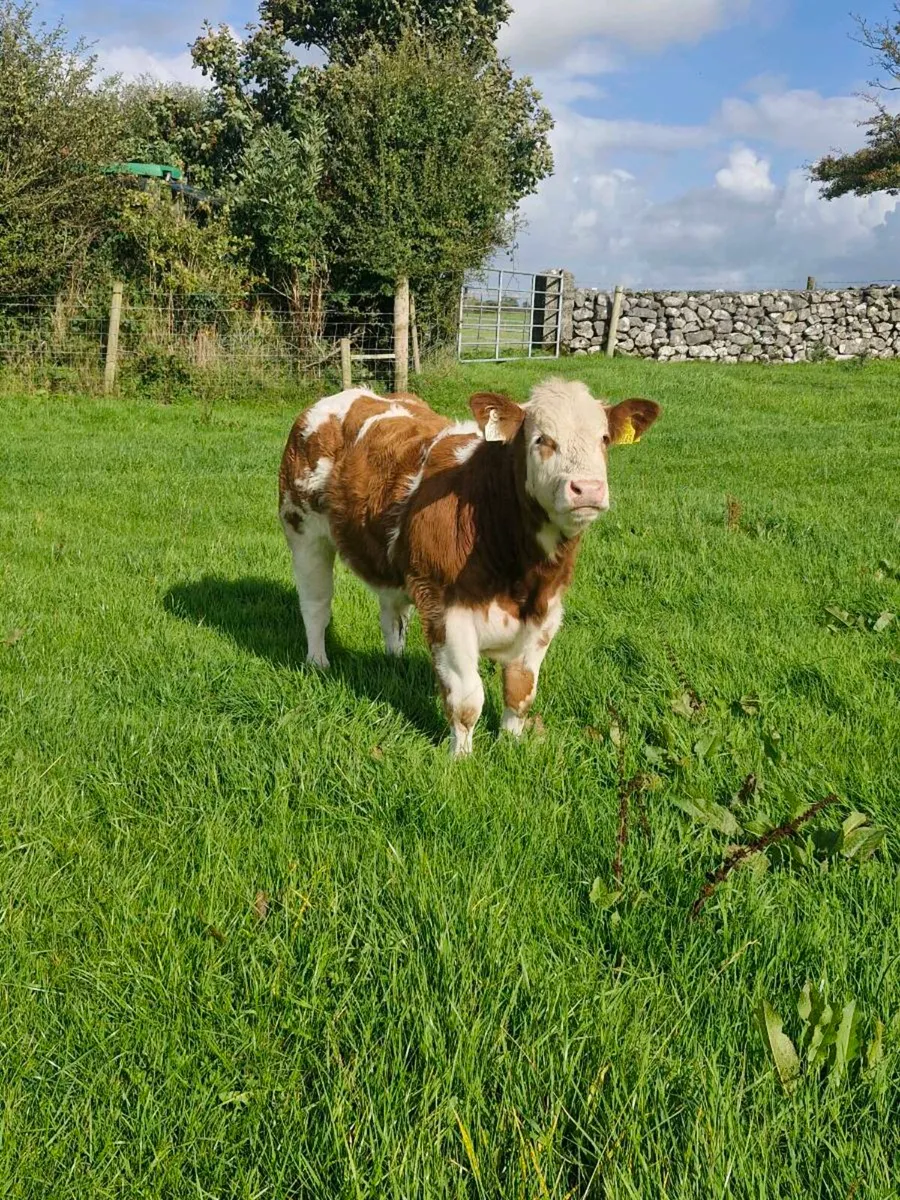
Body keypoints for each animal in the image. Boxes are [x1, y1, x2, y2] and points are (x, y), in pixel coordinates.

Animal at [278, 378, 660, 755]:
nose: (588, 489)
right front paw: (460, 758)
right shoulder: (446, 610)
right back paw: (318, 663)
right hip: (303, 531)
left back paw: (394, 660)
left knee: (392, 614)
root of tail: (347, 394)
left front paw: (512, 744)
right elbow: (466, 699)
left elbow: (520, 690)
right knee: (316, 605)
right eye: (542, 439)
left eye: (605, 439)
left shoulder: (547, 612)